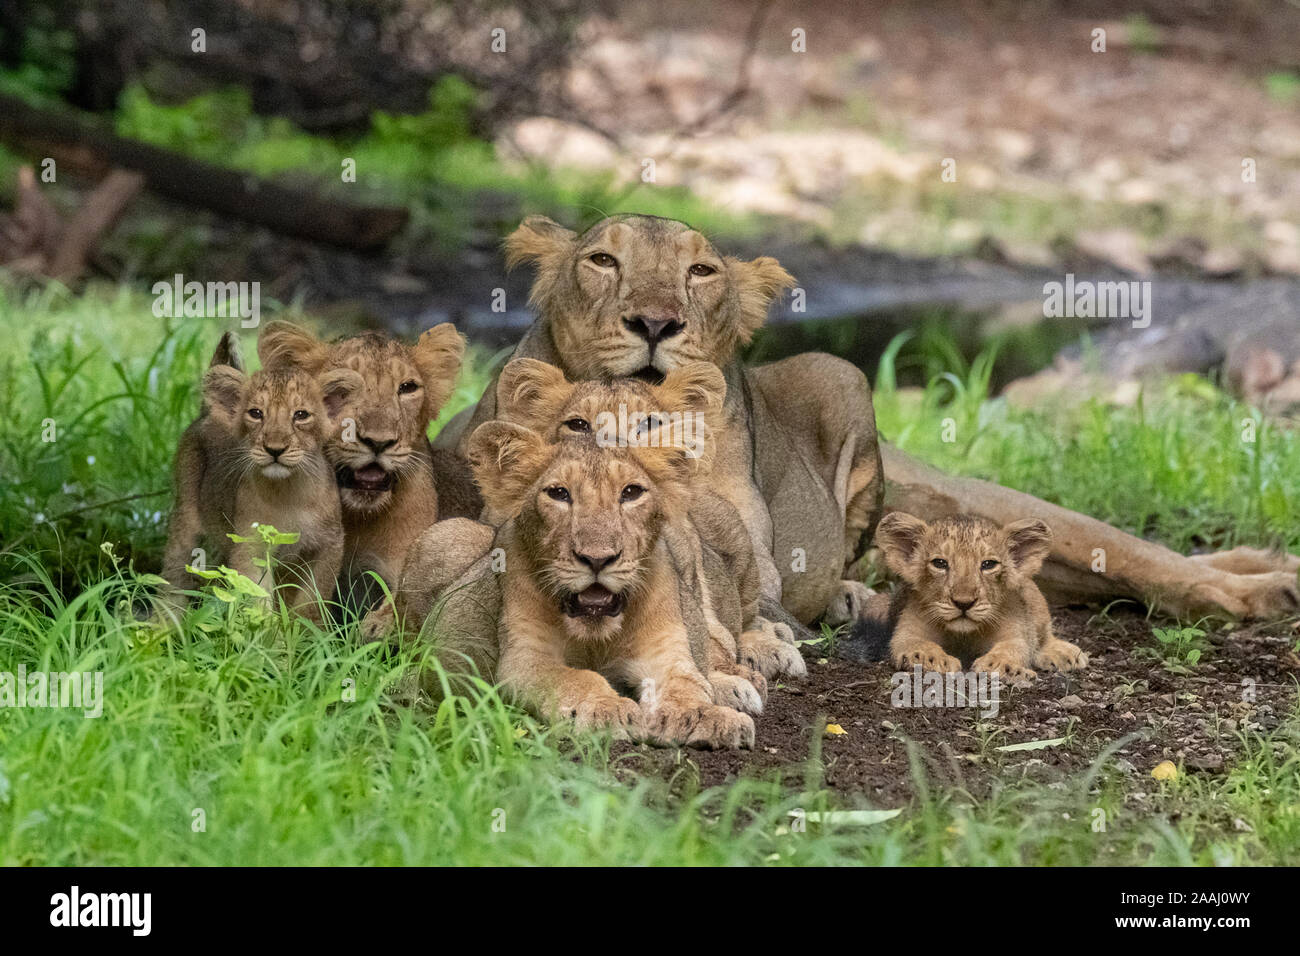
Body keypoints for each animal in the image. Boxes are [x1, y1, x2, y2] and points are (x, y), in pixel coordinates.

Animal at [162, 360, 361, 621]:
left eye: (301, 415)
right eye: (256, 413)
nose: (275, 449)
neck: (289, 492)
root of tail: (206, 415)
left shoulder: (330, 544)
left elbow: (311, 601)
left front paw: (305, 630)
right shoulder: (250, 545)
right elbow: (257, 597)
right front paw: (266, 631)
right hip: (185, 518)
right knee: (173, 577)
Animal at [435, 213, 1300, 629]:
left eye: (701, 270)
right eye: (602, 261)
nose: (655, 323)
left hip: (849, 384)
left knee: (1138, 553)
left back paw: (1261, 584)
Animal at [863, 512, 1088, 681]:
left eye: (988, 564)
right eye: (940, 563)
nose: (964, 603)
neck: (964, 636)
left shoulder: (1015, 631)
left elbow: (1014, 647)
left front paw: (998, 664)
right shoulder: (908, 628)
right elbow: (916, 643)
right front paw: (931, 658)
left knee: (1045, 635)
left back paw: (1065, 654)